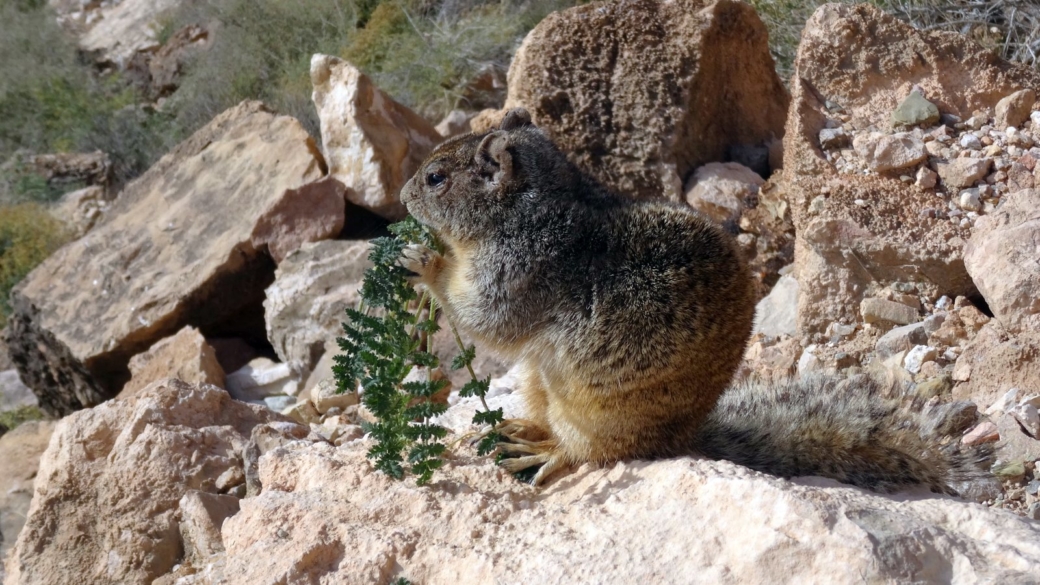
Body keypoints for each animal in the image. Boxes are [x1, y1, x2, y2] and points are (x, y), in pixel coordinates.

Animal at [397, 108, 990, 491]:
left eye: (436, 177)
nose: (401, 197)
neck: (536, 205)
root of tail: (684, 437)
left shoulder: (517, 270)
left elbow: (485, 319)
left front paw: (426, 263)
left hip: (590, 413)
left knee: (592, 452)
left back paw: (544, 451)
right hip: (540, 382)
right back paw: (523, 428)